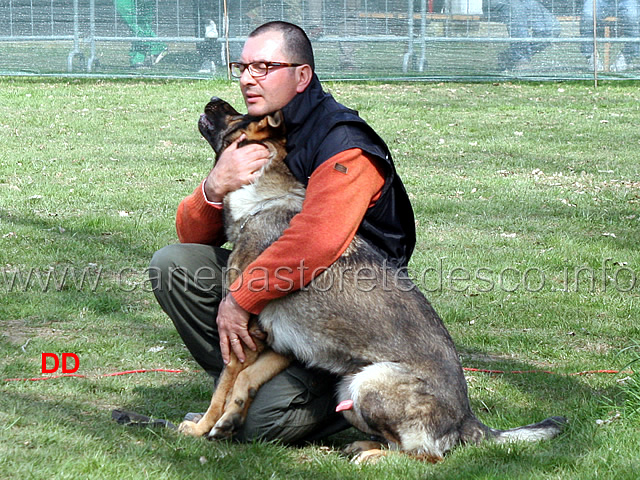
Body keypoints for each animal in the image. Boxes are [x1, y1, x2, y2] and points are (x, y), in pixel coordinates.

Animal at [179, 96, 564, 462]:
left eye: (240, 116)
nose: (212, 99)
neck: (263, 197)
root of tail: (466, 418)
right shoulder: (275, 343)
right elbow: (244, 381)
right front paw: (227, 421)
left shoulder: (241, 333)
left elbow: (223, 387)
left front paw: (202, 427)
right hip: (346, 390)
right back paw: (363, 446)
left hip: (367, 383)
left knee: (425, 456)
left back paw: (372, 456)